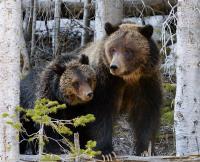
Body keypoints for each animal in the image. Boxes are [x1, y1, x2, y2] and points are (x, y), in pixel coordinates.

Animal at [74, 21, 162, 158]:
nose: (114, 66)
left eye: (128, 50)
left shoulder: (146, 82)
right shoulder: (105, 82)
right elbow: (101, 112)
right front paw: (106, 152)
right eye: (112, 49)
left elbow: (146, 114)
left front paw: (145, 150)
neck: (128, 78)